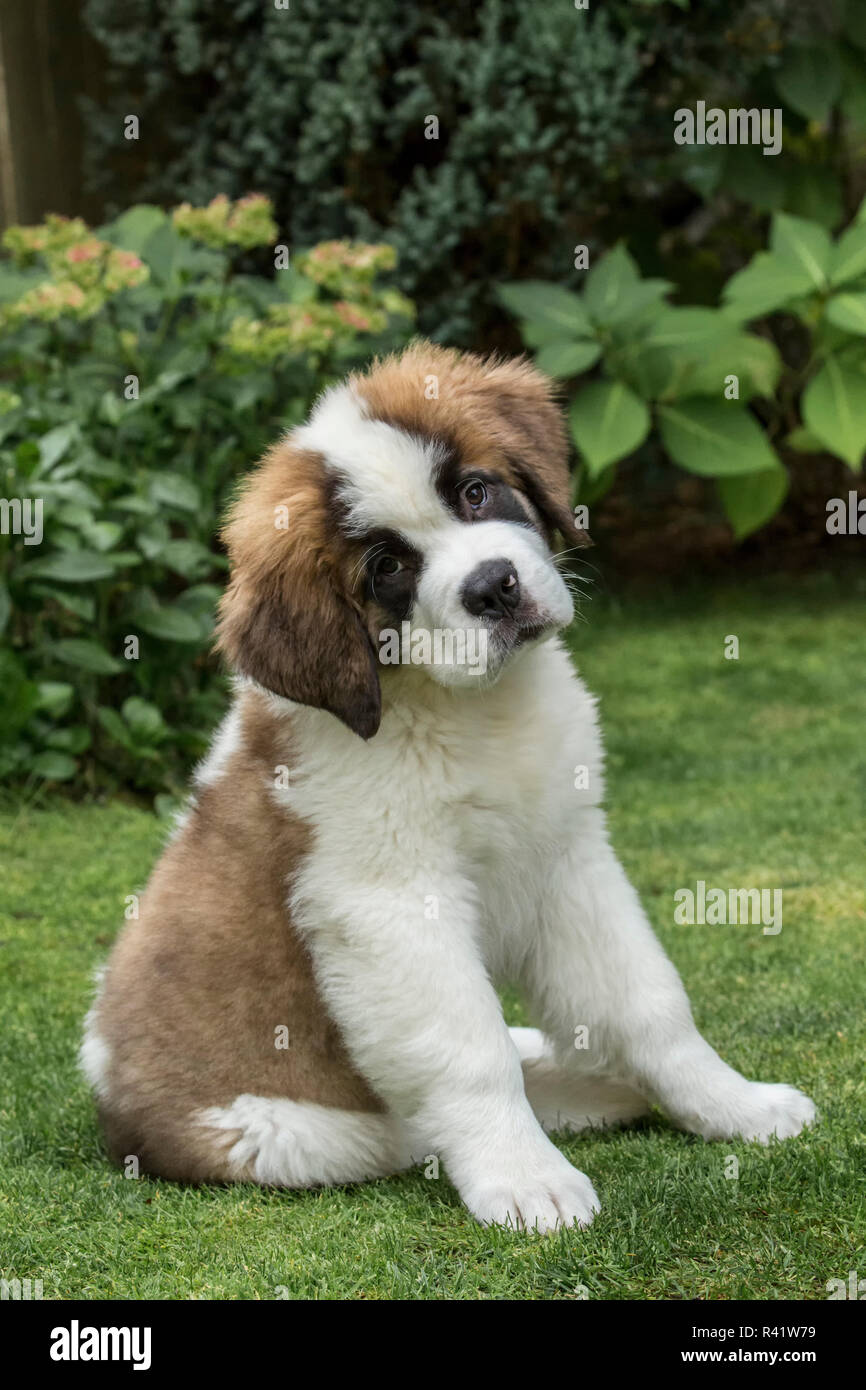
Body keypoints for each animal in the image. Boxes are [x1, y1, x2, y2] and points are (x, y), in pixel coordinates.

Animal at [77, 341, 817, 1234]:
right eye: (388, 567)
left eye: (475, 491)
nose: (494, 587)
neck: (472, 710)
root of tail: (114, 1110)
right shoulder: (392, 906)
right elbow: (469, 1052)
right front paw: (526, 1178)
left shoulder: (568, 857)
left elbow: (647, 1002)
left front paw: (732, 1106)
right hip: (298, 1134)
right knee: (414, 1118)